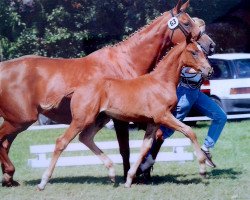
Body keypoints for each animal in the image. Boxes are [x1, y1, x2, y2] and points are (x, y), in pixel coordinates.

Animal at [37, 38, 213, 190]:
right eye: (194, 52)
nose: (209, 70)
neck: (161, 82)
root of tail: (77, 88)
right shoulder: (163, 116)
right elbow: (189, 131)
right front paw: (203, 168)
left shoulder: (153, 122)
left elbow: (145, 147)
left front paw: (129, 179)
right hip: (82, 120)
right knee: (62, 141)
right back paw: (43, 182)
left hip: (99, 119)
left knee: (85, 138)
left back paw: (112, 173)